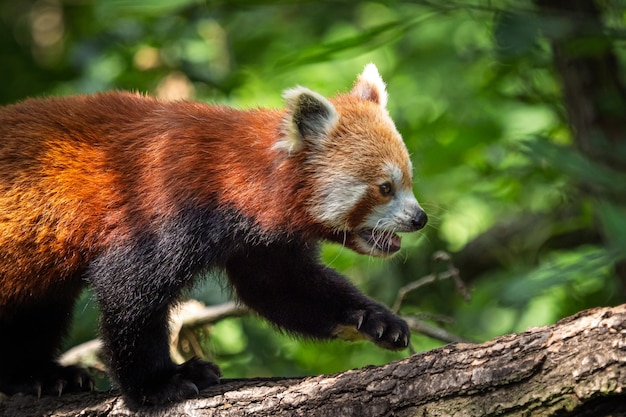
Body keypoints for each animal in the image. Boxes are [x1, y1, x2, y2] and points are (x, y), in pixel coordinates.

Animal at [0, 63, 424, 404]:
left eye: (408, 181)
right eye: (385, 188)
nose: (419, 218)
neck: (233, 174)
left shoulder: (258, 242)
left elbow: (283, 288)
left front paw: (374, 319)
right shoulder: (163, 205)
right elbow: (128, 291)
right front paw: (158, 384)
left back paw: (39, 376)